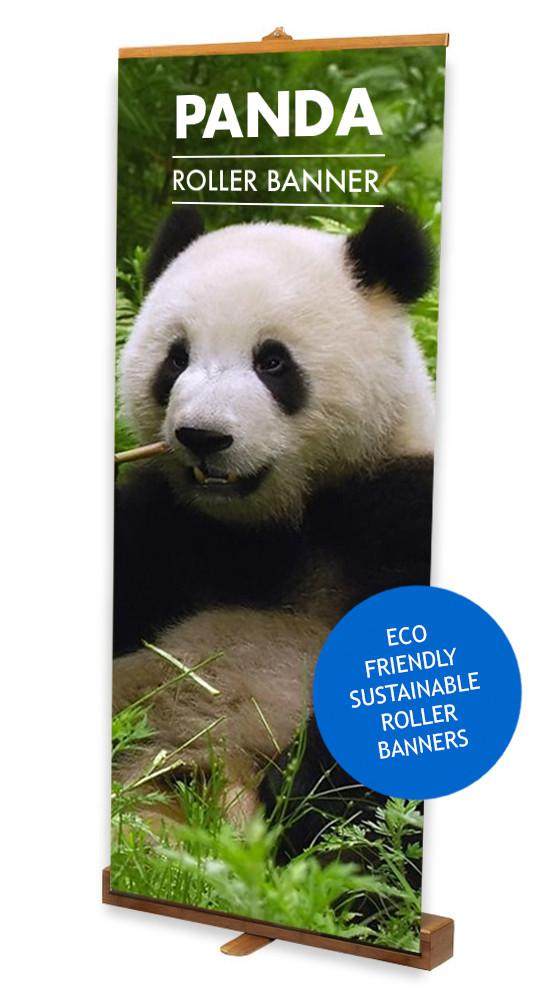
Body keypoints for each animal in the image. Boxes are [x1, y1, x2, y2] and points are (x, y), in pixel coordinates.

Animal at [112, 204, 435, 842]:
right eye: (176, 358)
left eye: (272, 362)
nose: (203, 436)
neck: (279, 523)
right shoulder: (167, 524)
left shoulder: (398, 507)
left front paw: (308, 810)